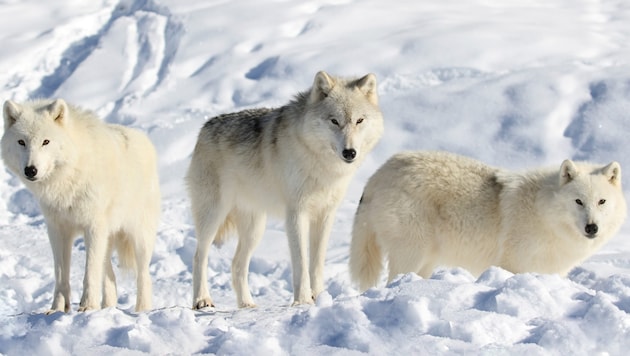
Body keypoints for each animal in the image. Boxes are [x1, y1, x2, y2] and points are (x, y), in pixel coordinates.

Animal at [3, 98, 160, 312]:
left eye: (45, 142)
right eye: (21, 142)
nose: (30, 170)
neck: (68, 177)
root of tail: (143, 138)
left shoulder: (93, 227)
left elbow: (90, 272)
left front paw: (87, 306)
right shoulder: (57, 230)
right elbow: (61, 274)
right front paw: (57, 309)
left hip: (139, 236)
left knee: (144, 276)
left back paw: (142, 310)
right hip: (107, 238)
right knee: (109, 275)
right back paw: (108, 308)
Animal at [188, 70, 386, 308]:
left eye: (359, 120)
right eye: (334, 121)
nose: (350, 152)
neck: (321, 166)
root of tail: (204, 129)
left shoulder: (325, 215)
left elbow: (316, 263)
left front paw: (319, 297)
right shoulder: (296, 213)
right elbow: (301, 262)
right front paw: (303, 301)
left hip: (255, 228)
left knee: (237, 265)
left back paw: (247, 304)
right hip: (213, 216)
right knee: (199, 256)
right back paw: (202, 300)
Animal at [348, 150, 628, 290]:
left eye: (602, 202)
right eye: (578, 201)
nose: (592, 228)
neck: (544, 213)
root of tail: (378, 174)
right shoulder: (512, 265)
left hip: (426, 261)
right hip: (412, 253)